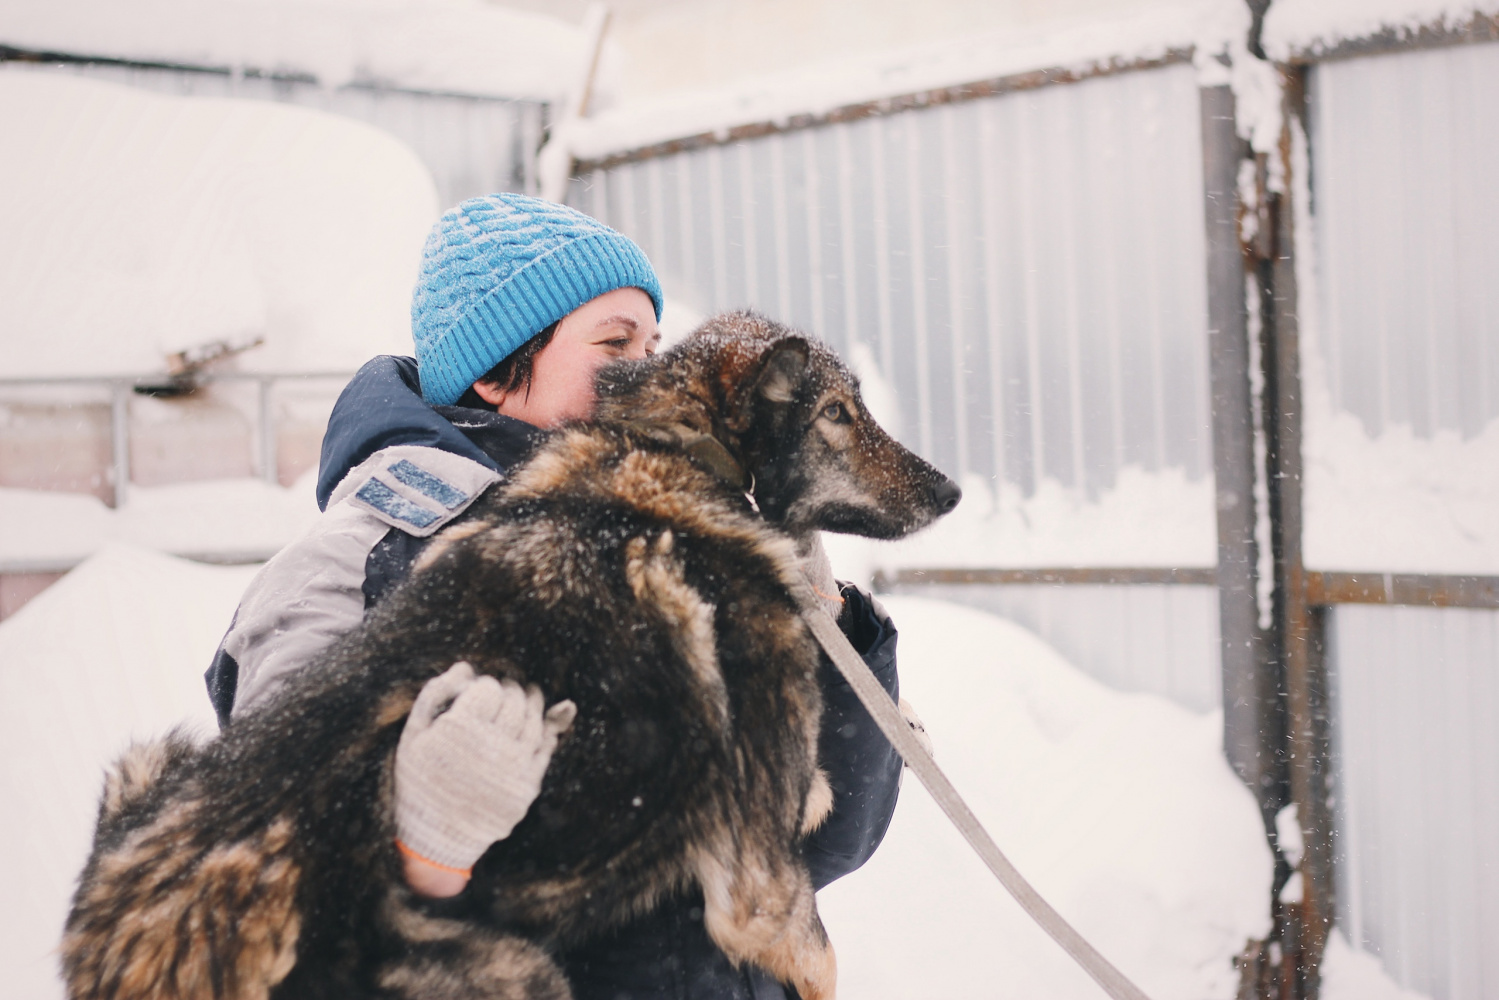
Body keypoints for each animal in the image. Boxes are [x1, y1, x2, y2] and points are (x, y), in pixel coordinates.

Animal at [61, 313, 959, 1000]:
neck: (678, 457)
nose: (950, 490)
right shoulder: (760, 887)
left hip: (141, 765)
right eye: (837, 413)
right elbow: (817, 944)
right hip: (516, 971)